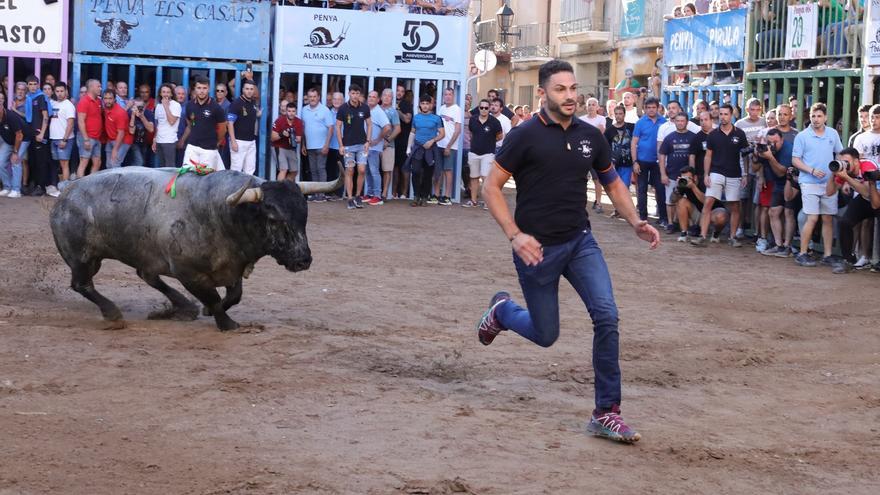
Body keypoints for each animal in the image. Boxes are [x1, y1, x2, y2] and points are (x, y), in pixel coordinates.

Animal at [49, 168, 342, 334]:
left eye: (303, 215)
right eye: (273, 218)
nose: (303, 259)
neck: (220, 214)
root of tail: (66, 193)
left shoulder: (233, 266)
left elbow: (233, 295)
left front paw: (208, 311)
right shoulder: (189, 272)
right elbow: (214, 298)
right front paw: (227, 324)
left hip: (143, 255)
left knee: (148, 276)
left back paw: (184, 307)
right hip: (83, 258)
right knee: (82, 285)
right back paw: (112, 313)